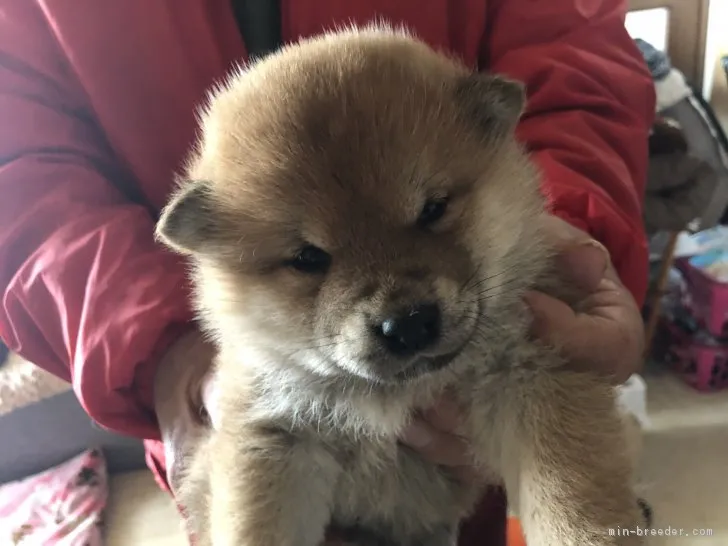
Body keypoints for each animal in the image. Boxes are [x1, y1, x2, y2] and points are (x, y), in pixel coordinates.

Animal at [158, 24, 644, 544]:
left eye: (433, 209)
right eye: (308, 258)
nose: (408, 323)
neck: (396, 397)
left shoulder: (534, 376)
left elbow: (572, 502)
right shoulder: (274, 434)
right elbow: (255, 527)